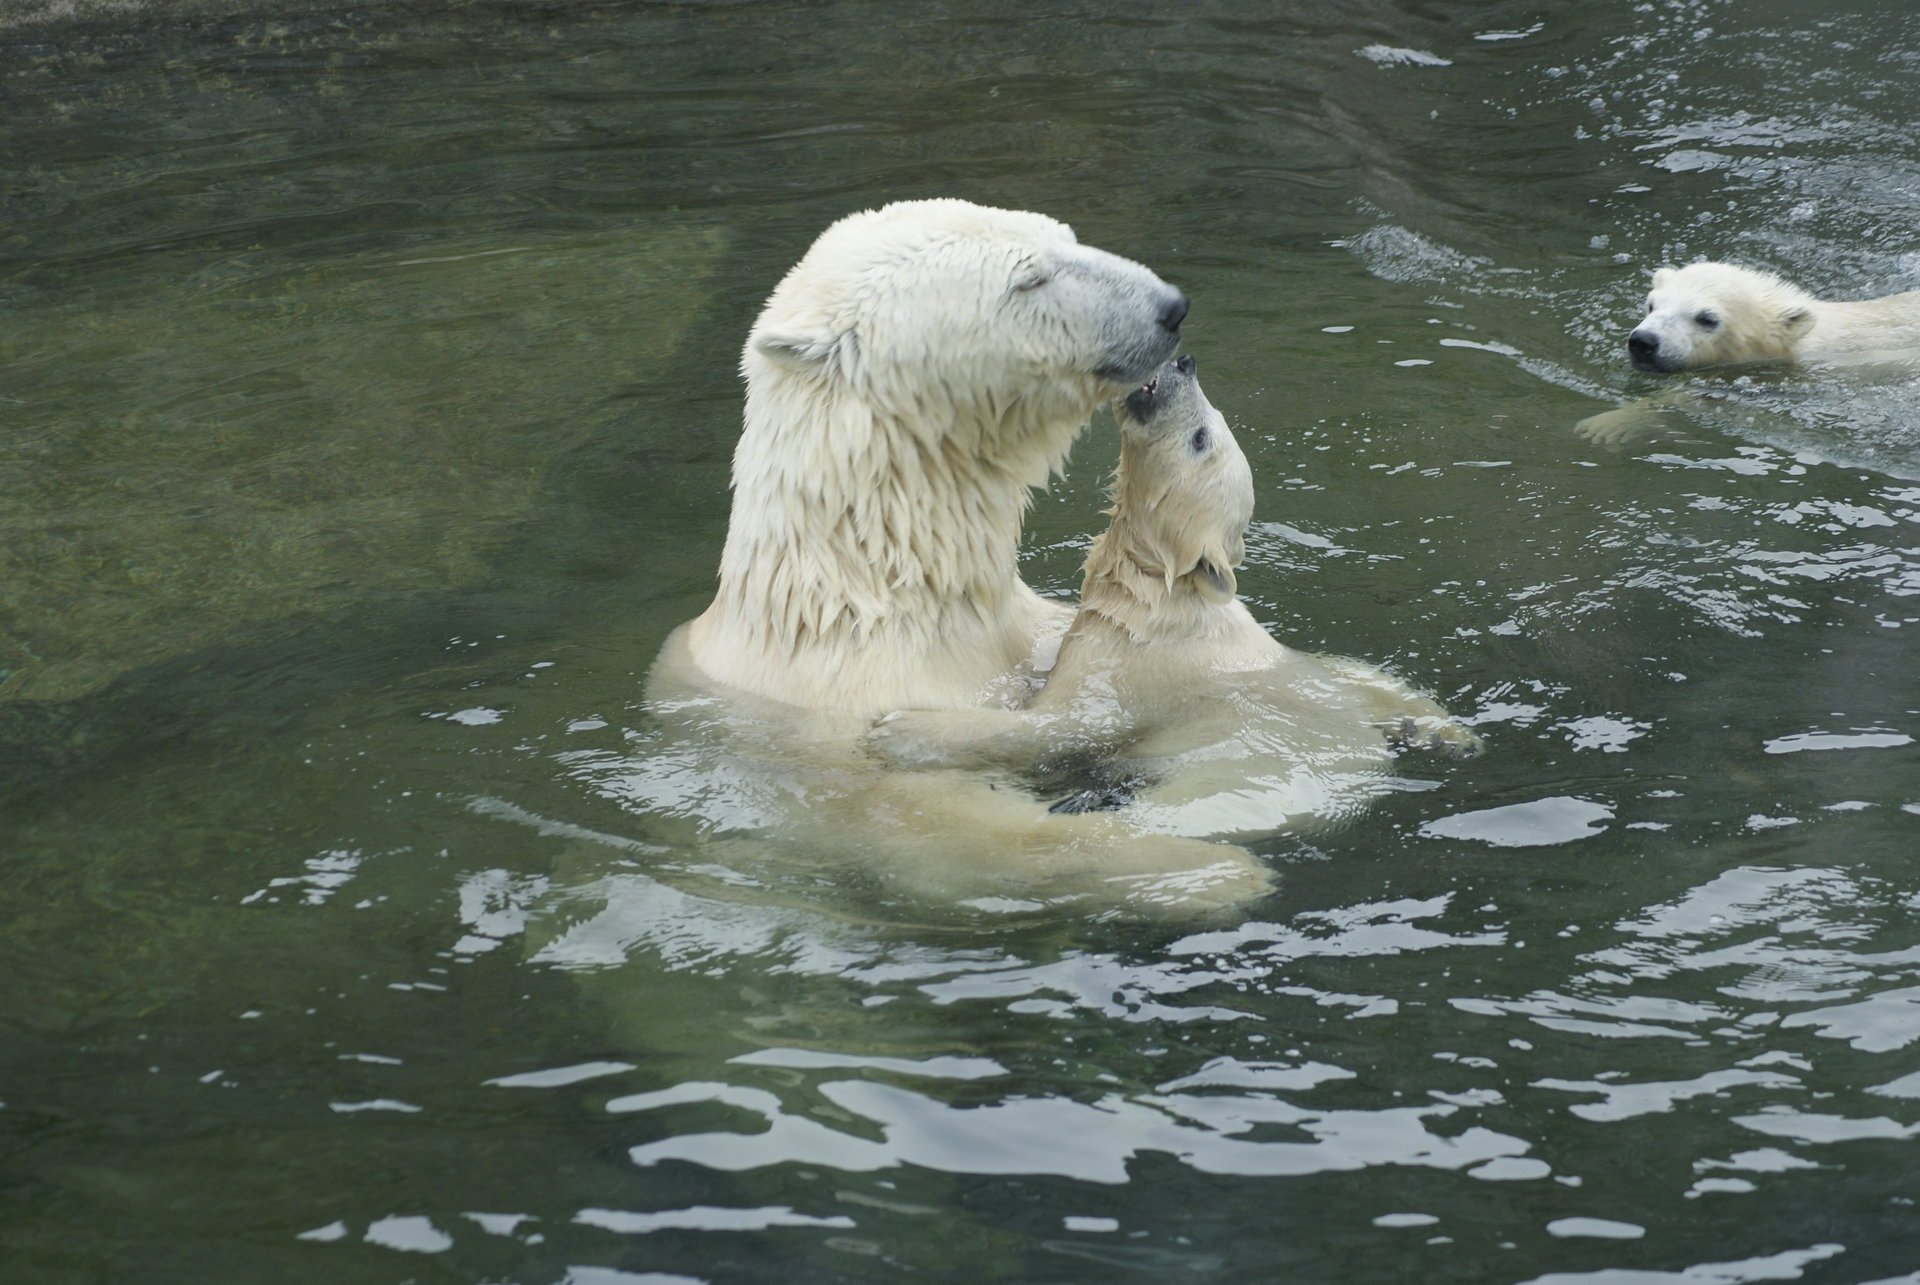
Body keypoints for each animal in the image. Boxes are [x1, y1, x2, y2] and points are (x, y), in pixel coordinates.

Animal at [864, 355, 1474, 841]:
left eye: (1202, 437)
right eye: (1215, 422)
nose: (1184, 362)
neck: (1160, 593)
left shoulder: (1134, 668)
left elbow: (1063, 724)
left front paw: (900, 729)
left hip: (1244, 778)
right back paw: (1446, 735)